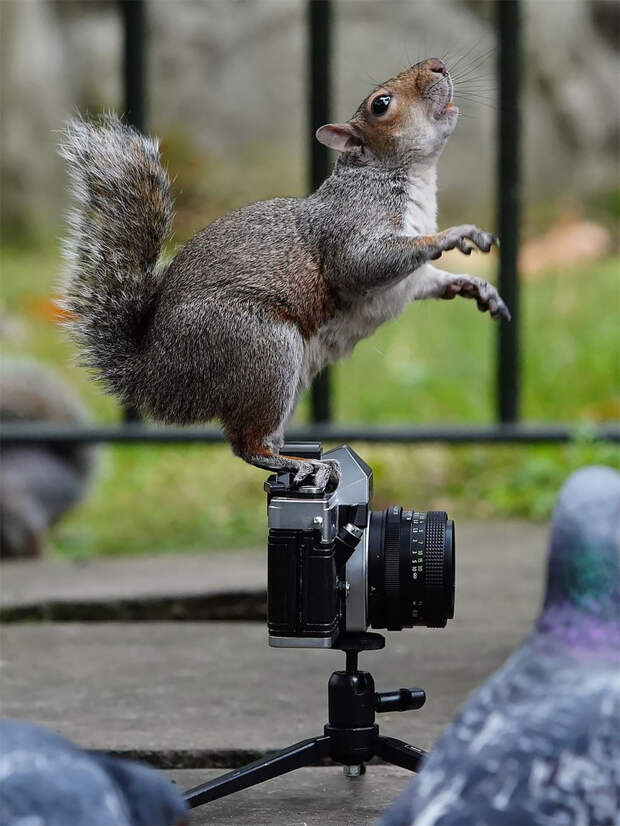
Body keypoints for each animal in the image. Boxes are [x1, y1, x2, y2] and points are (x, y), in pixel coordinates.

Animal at [58, 59, 508, 490]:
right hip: (262, 348)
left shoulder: (411, 279)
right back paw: (302, 465)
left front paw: (476, 286)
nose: (438, 66)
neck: (401, 176)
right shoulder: (349, 229)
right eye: (381, 104)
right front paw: (456, 233)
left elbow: (429, 280)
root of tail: (157, 374)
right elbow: (362, 265)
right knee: (246, 443)